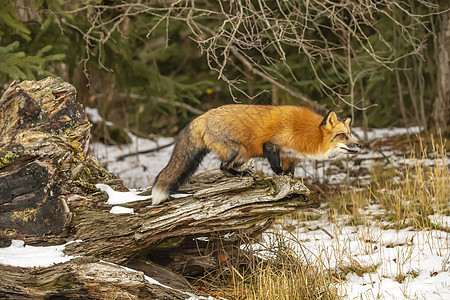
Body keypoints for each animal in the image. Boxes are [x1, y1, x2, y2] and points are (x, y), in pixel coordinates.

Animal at [151, 104, 362, 205]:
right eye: (342, 136)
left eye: (350, 134)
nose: (359, 145)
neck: (306, 134)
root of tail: (201, 117)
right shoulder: (270, 145)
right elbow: (277, 167)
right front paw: (281, 178)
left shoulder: (290, 155)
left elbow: (291, 173)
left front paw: (293, 187)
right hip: (237, 150)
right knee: (223, 167)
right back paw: (240, 175)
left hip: (242, 154)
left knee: (225, 167)